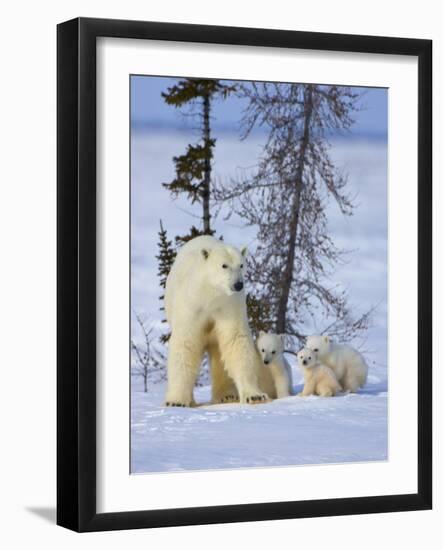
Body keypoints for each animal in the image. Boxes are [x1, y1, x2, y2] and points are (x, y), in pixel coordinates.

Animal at [165, 235, 272, 408]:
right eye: (224, 265)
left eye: (241, 265)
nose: (238, 284)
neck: (211, 294)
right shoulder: (191, 305)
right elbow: (186, 343)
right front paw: (176, 401)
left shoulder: (229, 305)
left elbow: (235, 339)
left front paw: (255, 396)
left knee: (219, 354)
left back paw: (227, 396)